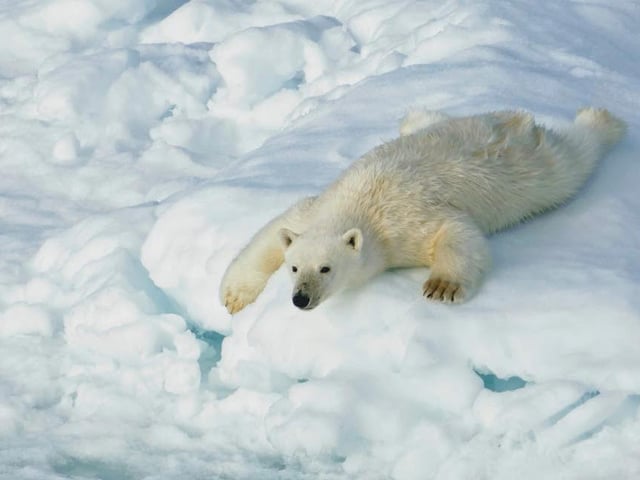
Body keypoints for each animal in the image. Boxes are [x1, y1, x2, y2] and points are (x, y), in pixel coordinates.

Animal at [220, 107, 626, 314]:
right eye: (294, 268)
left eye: (326, 268)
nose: (300, 298)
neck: (359, 202)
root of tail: (516, 120)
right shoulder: (315, 209)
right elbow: (274, 232)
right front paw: (233, 297)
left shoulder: (403, 223)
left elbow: (456, 230)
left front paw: (441, 287)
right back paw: (415, 115)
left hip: (535, 171)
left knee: (575, 158)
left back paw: (604, 120)